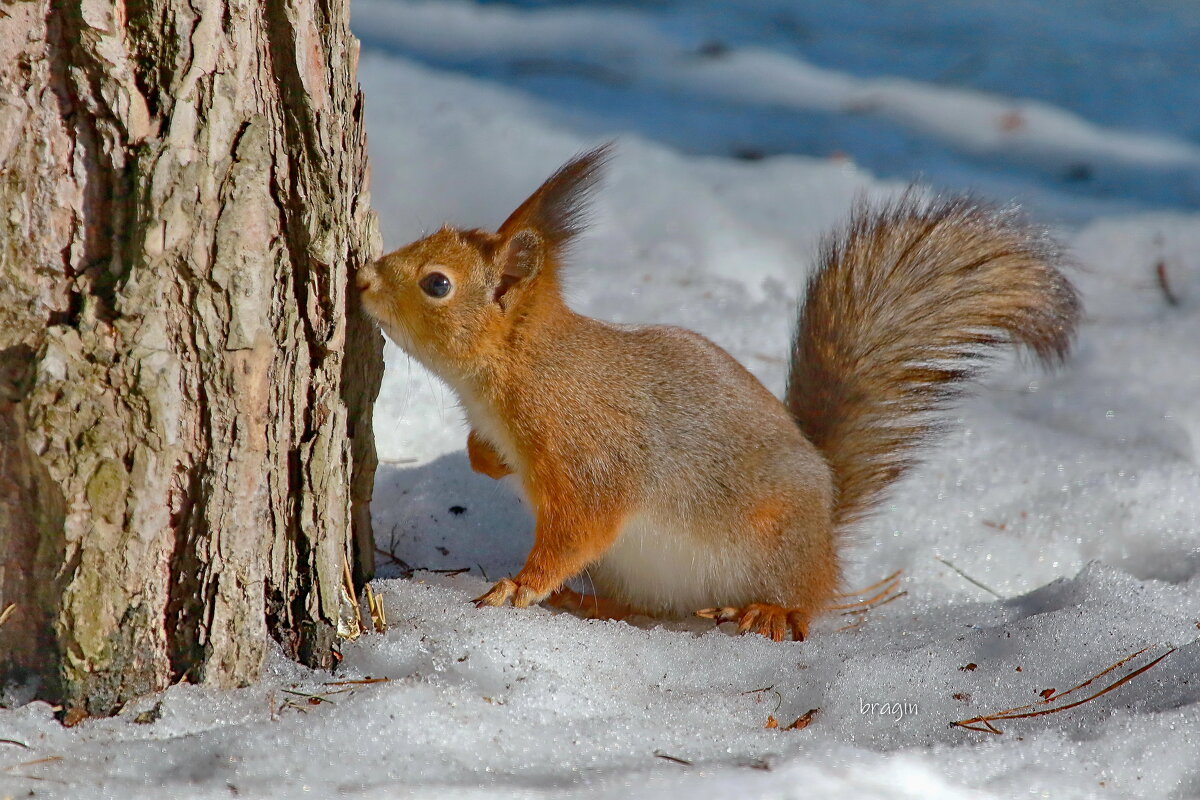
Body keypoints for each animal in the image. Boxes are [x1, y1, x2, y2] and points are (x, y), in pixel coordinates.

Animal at [355, 145, 1080, 642]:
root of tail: (826, 528)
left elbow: (581, 524)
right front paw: (486, 458)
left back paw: (767, 610)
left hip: (774, 544)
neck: (525, 368)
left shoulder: (590, 451)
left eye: (438, 284)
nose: (362, 278)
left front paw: (522, 585)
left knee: (804, 601)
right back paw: (591, 602)